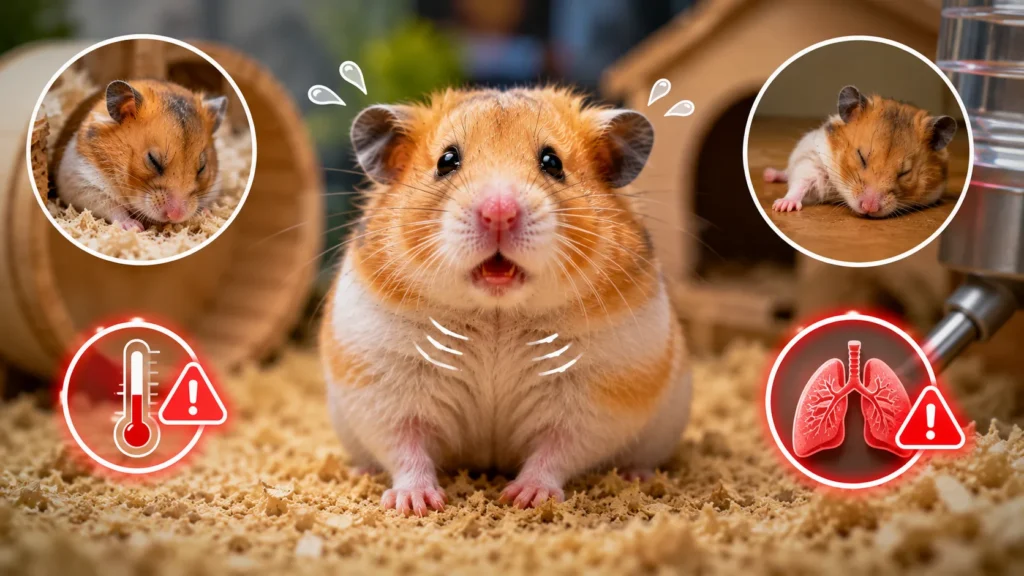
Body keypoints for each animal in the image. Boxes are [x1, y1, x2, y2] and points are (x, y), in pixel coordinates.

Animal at [55, 79, 228, 231]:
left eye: (202, 168)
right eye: (153, 160)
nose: (176, 216)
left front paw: (207, 213)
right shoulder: (81, 182)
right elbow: (112, 207)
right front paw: (135, 227)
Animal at [320, 88, 691, 515]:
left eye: (552, 162)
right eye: (447, 160)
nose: (498, 212)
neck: (497, 312)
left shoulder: (594, 399)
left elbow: (557, 451)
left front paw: (524, 498)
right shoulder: (386, 388)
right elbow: (405, 447)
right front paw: (415, 504)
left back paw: (636, 476)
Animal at [765, 85, 956, 218]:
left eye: (905, 172)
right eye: (861, 157)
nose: (869, 208)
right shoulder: (813, 161)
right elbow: (801, 183)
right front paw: (782, 207)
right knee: (786, 173)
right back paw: (768, 174)